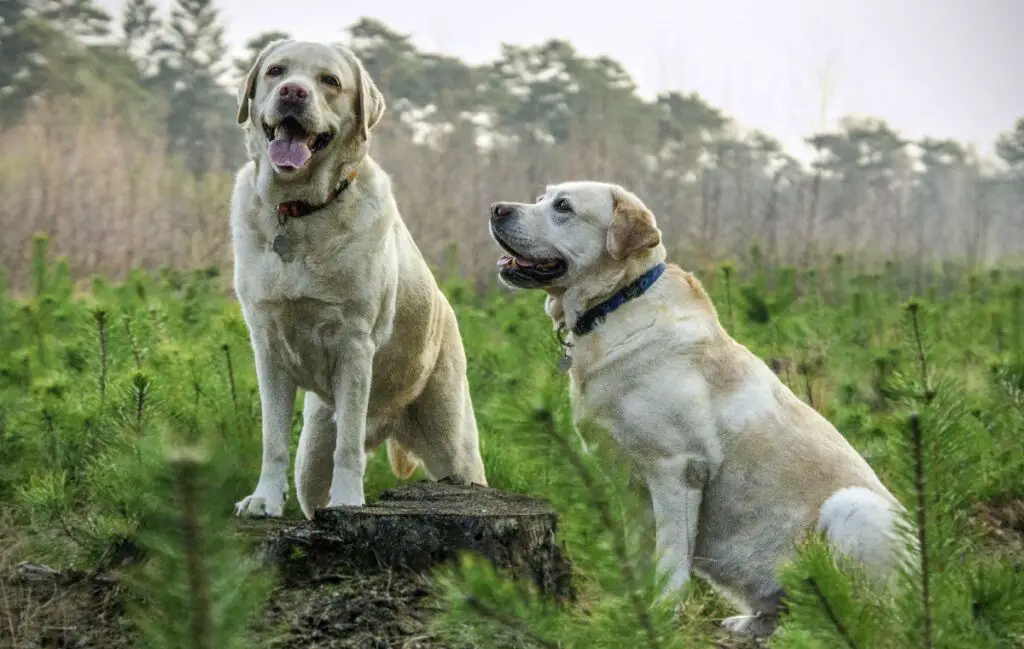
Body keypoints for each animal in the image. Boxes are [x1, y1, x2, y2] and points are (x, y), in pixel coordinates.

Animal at [232, 39, 487, 520]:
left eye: (330, 81)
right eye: (276, 71)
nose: (293, 92)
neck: (300, 211)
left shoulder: (353, 343)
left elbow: (348, 447)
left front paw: (349, 501)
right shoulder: (267, 346)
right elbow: (272, 439)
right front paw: (263, 499)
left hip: (455, 445)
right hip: (312, 452)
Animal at [485, 179, 905, 634]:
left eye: (563, 207)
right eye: (541, 198)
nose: (497, 208)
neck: (617, 303)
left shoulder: (678, 469)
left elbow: (670, 559)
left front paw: (662, 613)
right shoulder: (630, 484)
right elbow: (639, 551)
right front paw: (635, 609)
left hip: (851, 507)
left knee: (874, 615)